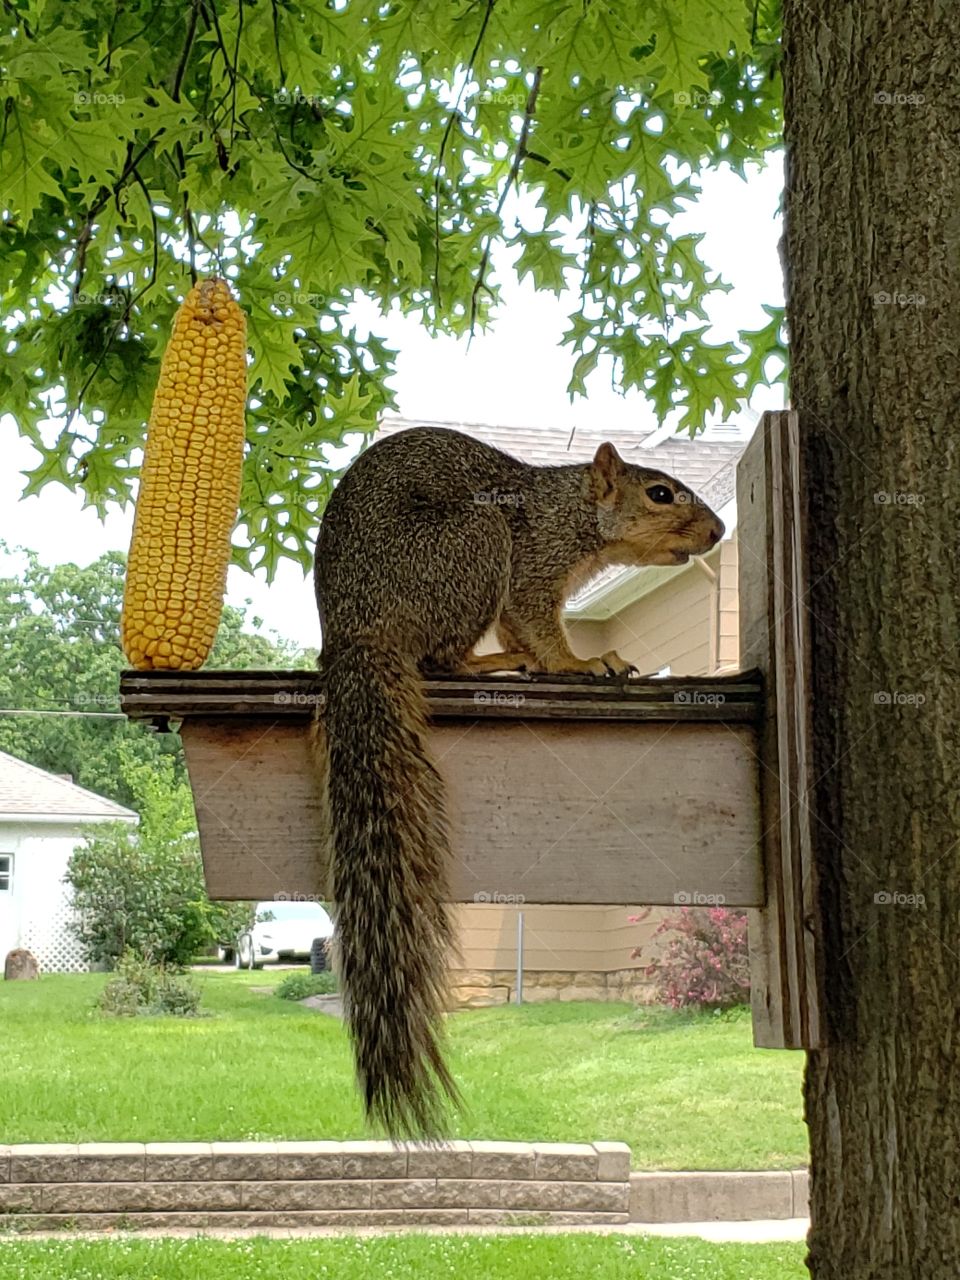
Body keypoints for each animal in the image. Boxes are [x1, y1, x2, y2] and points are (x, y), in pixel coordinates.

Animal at [312, 425, 724, 1135]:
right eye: (660, 493)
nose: (720, 530)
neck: (577, 515)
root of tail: (356, 629)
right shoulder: (532, 559)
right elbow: (537, 626)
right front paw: (585, 663)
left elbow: (526, 625)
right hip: (475, 544)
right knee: (442, 660)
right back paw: (495, 662)